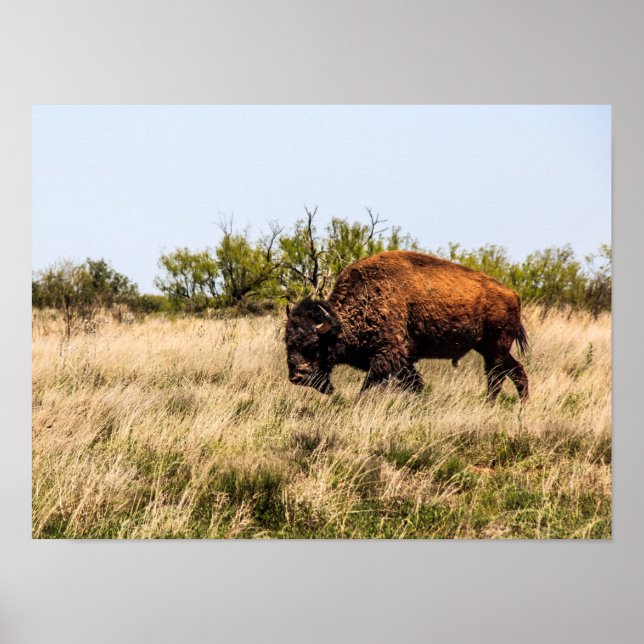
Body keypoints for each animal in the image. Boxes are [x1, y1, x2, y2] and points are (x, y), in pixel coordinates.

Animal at [285, 250, 529, 401]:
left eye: (313, 346)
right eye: (288, 344)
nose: (297, 378)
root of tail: (513, 294)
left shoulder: (387, 357)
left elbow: (369, 386)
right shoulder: (401, 361)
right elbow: (414, 383)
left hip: (495, 348)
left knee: (496, 377)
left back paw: (490, 404)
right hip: (491, 348)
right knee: (517, 372)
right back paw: (522, 405)